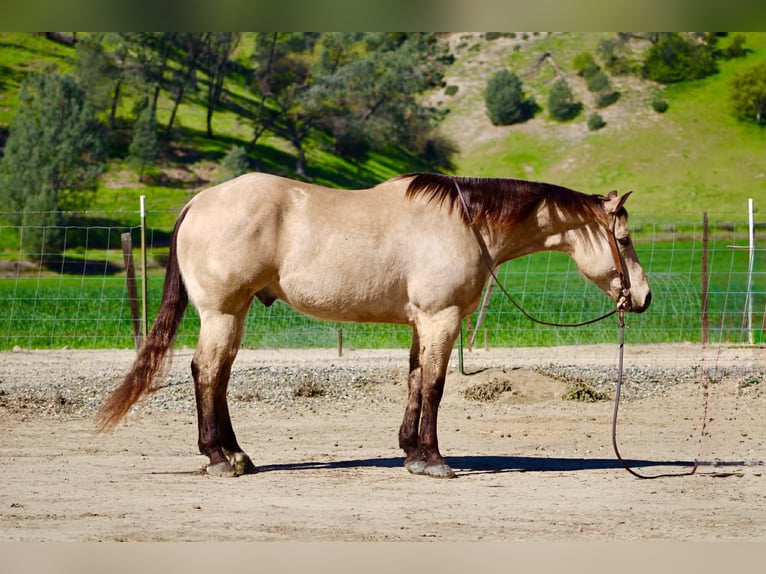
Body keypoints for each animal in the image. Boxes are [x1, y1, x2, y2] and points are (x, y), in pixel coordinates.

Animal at [97, 172, 651, 479]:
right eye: (623, 240)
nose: (644, 297)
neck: (465, 223)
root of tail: (200, 201)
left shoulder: (422, 322)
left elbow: (414, 380)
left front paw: (411, 450)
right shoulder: (440, 318)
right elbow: (435, 385)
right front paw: (433, 459)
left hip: (234, 313)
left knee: (219, 376)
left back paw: (236, 453)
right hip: (224, 312)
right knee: (208, 372)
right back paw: (219, 457)